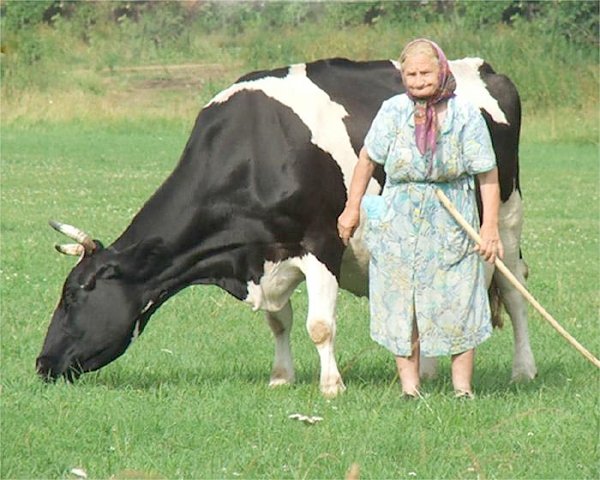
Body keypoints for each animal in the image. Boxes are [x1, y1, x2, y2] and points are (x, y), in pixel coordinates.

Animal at [36, 57, 536, 398]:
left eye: (73, 295)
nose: (43, 363)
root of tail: (484, 67)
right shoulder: (266, 254)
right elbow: (279, 321)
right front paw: (281, 377)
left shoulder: (322, 242)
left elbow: (319, 325)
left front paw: (331, 385)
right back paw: (429, 372)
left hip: (506, 218)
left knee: (514, 293)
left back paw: (523, 370)